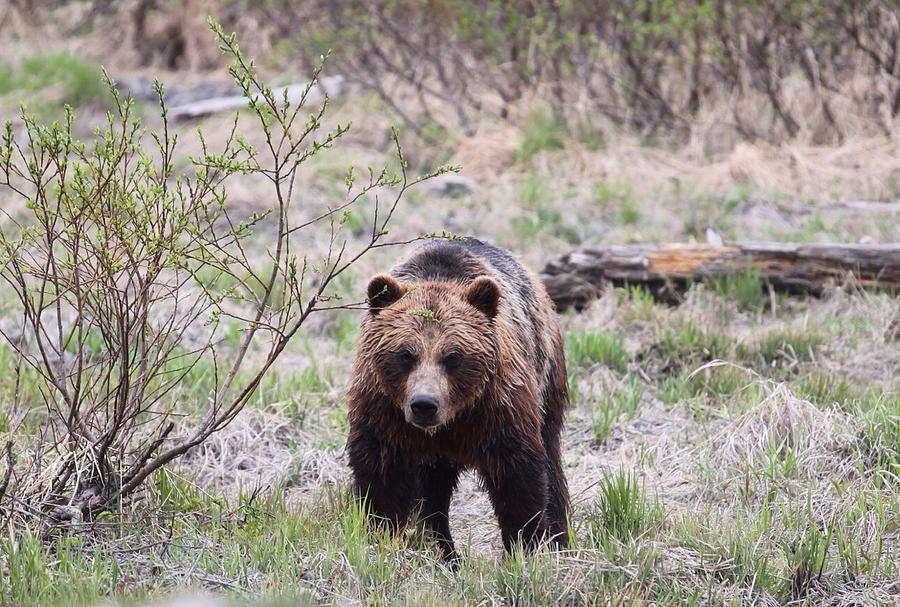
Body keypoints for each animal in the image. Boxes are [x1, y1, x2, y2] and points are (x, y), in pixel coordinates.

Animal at [346, 238, 568, 560]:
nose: (424, 404)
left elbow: (519, 475)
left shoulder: (498, 405)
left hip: (546, 375)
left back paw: (562, 538)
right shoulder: (383, 408)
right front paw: (384, 534)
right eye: (405, 354)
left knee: (551, 456)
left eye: (453, 356)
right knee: (432, 493)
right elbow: (382, 475)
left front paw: (526, 546)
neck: (452, 421)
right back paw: (444, 550)